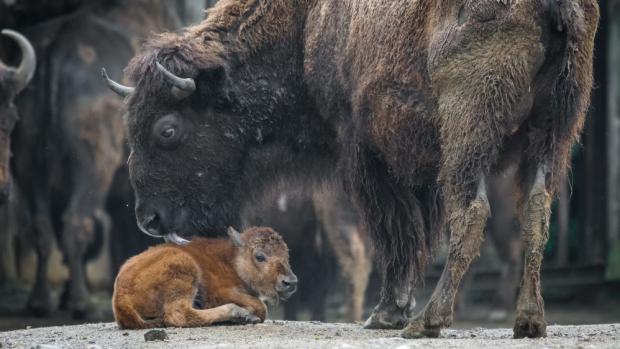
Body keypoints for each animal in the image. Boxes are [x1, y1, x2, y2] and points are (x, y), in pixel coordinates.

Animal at [114, 227, 298, 328]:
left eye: (286, 253)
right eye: (259, 256)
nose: (290, 282)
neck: (232, 260)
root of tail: (120, 295)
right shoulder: (222, 292)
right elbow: (260, 307)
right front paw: (247, 315)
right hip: (185, 268)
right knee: (179, 314)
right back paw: (238, 314)